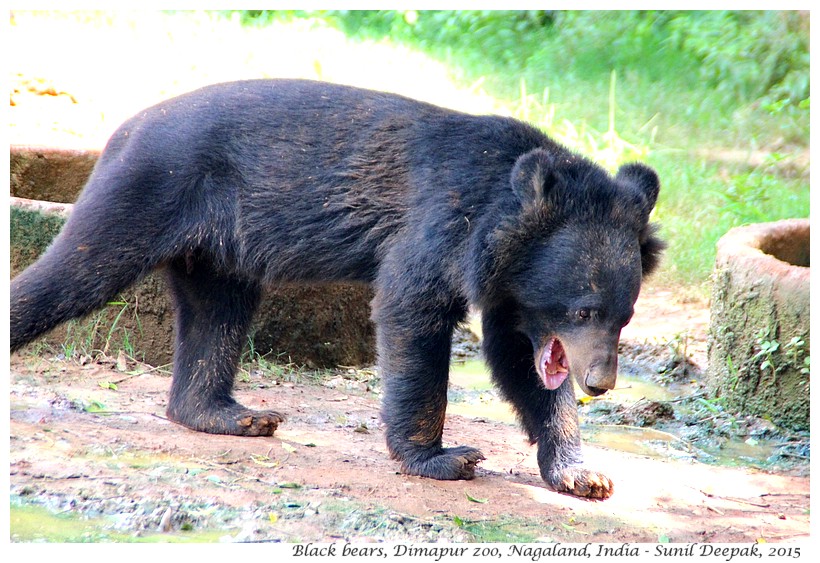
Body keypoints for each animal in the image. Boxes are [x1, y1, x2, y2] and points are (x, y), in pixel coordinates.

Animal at [9, 78, 664, 498]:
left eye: (625, 316)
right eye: (583, 310)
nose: (600, 383)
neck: (502, 217)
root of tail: (126, 127)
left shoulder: (510, 289)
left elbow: (518, 361)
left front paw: (583, 475)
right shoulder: (443, 225)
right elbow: (411, 309)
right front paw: (444, 458)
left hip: (219, 248)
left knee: (217, 313)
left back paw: (231, 414)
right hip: (147, 189)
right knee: (76, 273)